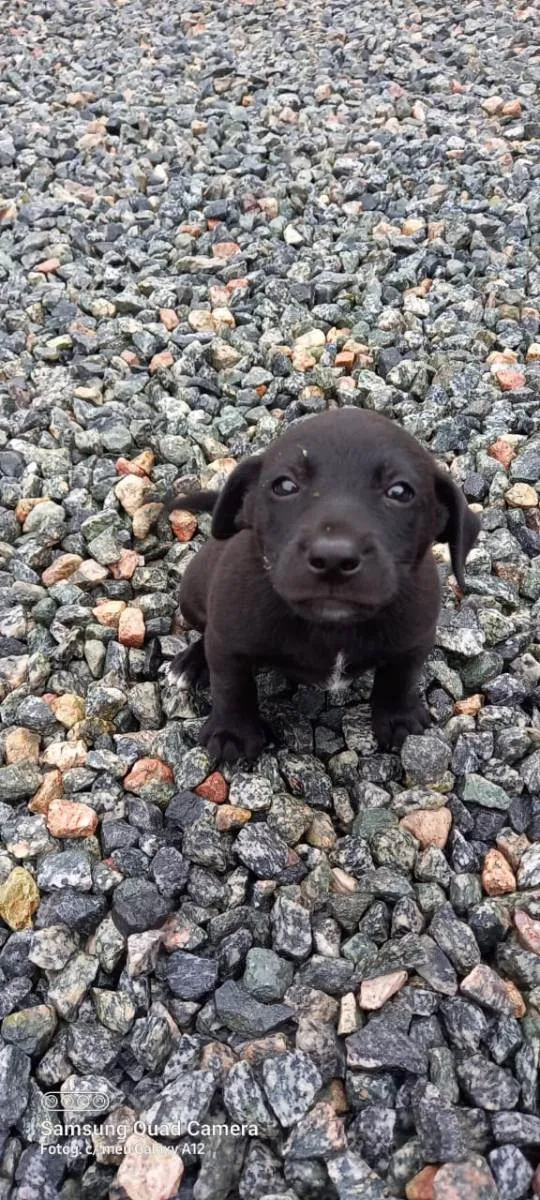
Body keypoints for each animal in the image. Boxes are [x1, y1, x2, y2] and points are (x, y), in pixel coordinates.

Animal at [162, 410, 480, 758]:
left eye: (400, 492)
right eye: (284, 486)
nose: (333, 558)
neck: (331, 625)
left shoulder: (415, 638)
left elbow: (400, 678)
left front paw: (399, 718)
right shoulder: (228, 641)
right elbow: (232, 686)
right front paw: (232, 732)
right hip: (192, 594)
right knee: (203, 631)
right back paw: (191, 664)